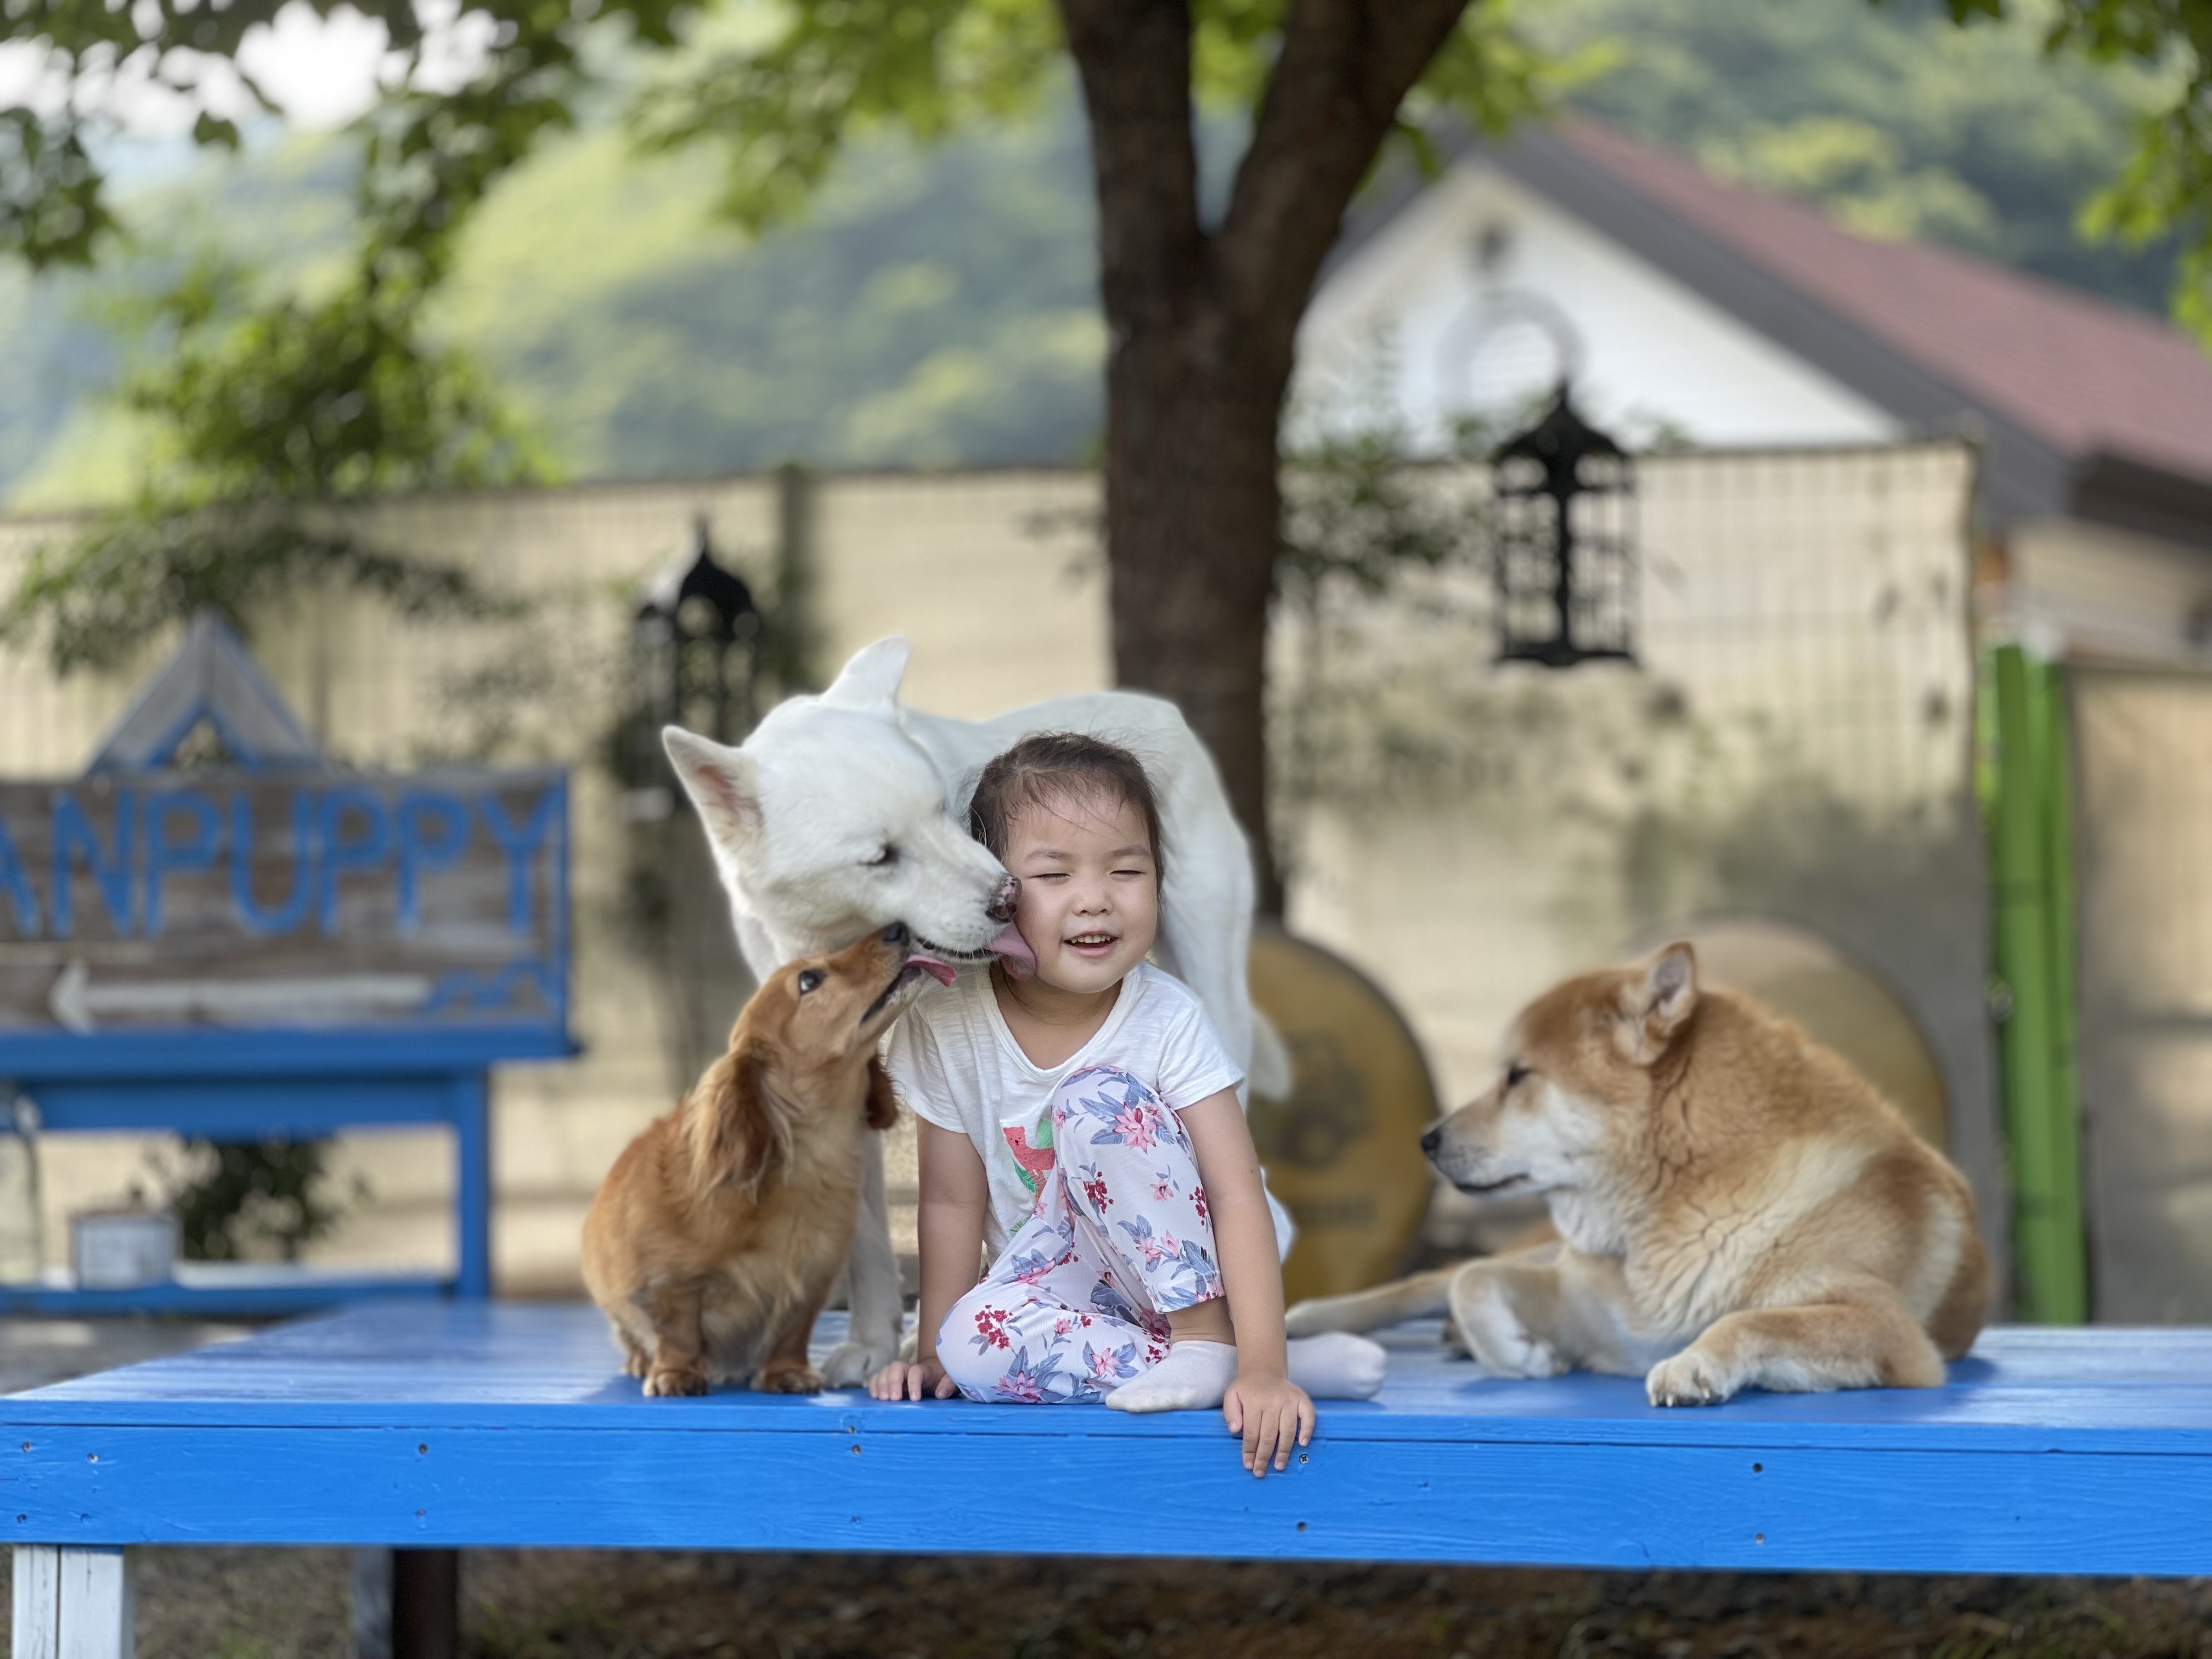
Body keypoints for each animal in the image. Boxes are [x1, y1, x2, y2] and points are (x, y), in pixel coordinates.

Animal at [581, 924, 954, 1396]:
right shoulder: (668, 1284)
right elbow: (678, 1333)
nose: (898, 928)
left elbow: (791, 1332)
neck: (804, 1161)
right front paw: (675, 1375)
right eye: (809, 980)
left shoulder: (810, 1280)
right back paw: (640, 1361)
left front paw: (787, 1374)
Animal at [661, 637, 1289, 1385]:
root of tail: (1165, 714)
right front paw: (872, 1343)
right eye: (880, 857)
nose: (1008, 898)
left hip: (1213, 989)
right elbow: (871, 1234)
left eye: (944, 811)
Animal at [1285, 943, 1987, 1406]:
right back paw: (1312, 1316)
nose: (1426, 1140)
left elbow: (1751, 1320)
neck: (1681, 1201)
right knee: (1435, 1279)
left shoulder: (1882, 1325)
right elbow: (1472, 1282)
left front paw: (1693, 1365)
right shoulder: (1576, 1295)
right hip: (1535, 1251)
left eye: (1518, 1076)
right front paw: (1521, 1355)